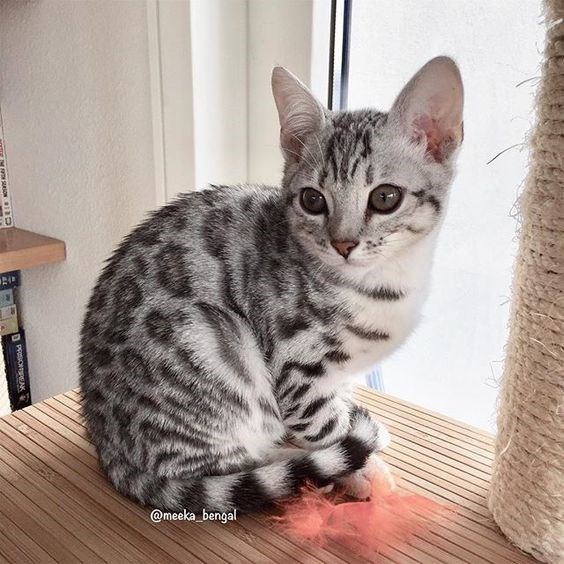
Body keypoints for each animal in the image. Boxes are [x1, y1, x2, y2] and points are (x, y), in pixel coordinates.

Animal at [81, 56, 464, 512]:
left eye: (385, 197)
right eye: (313, 200)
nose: (343, 244)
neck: (385, 286)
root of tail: (108, 450)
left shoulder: (336, 373)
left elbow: (341, 403)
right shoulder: (297, 367)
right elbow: (327, 425)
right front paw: (366, 470)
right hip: (211, 344)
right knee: (223, 469)